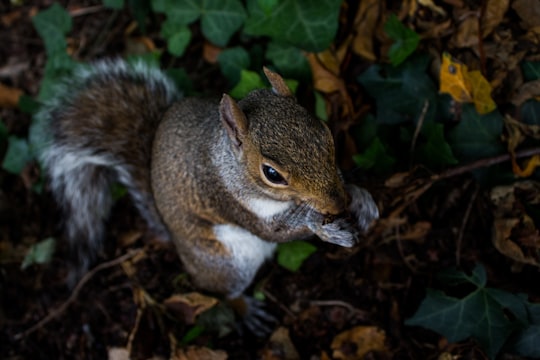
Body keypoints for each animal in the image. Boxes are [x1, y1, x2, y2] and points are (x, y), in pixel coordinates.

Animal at [37, 60, 380, 328]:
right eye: (272, 174)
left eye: (325, 132)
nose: (337, 203)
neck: (229, 162)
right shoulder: (226, 198)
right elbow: (274, 231)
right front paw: (323, 227)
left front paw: (361, 199)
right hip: (225, 265)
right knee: (220, 293)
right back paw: (245, 310)